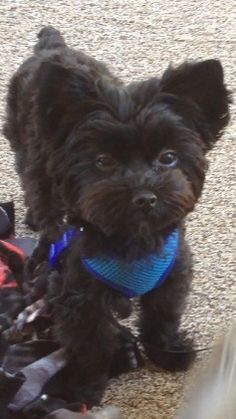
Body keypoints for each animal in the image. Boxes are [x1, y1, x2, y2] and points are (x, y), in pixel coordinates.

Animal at [3, 26, 231, 410]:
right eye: (103, 162)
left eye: (168, 157)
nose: (145, 197)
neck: (133, 240)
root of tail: (52, 46)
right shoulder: (80, 295)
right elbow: (90, 344)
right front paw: (84, 388)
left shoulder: (173, 273)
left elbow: (163, 315)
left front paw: (168, 352)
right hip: (29, 151)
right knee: (38, 189)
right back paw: (39, 221)